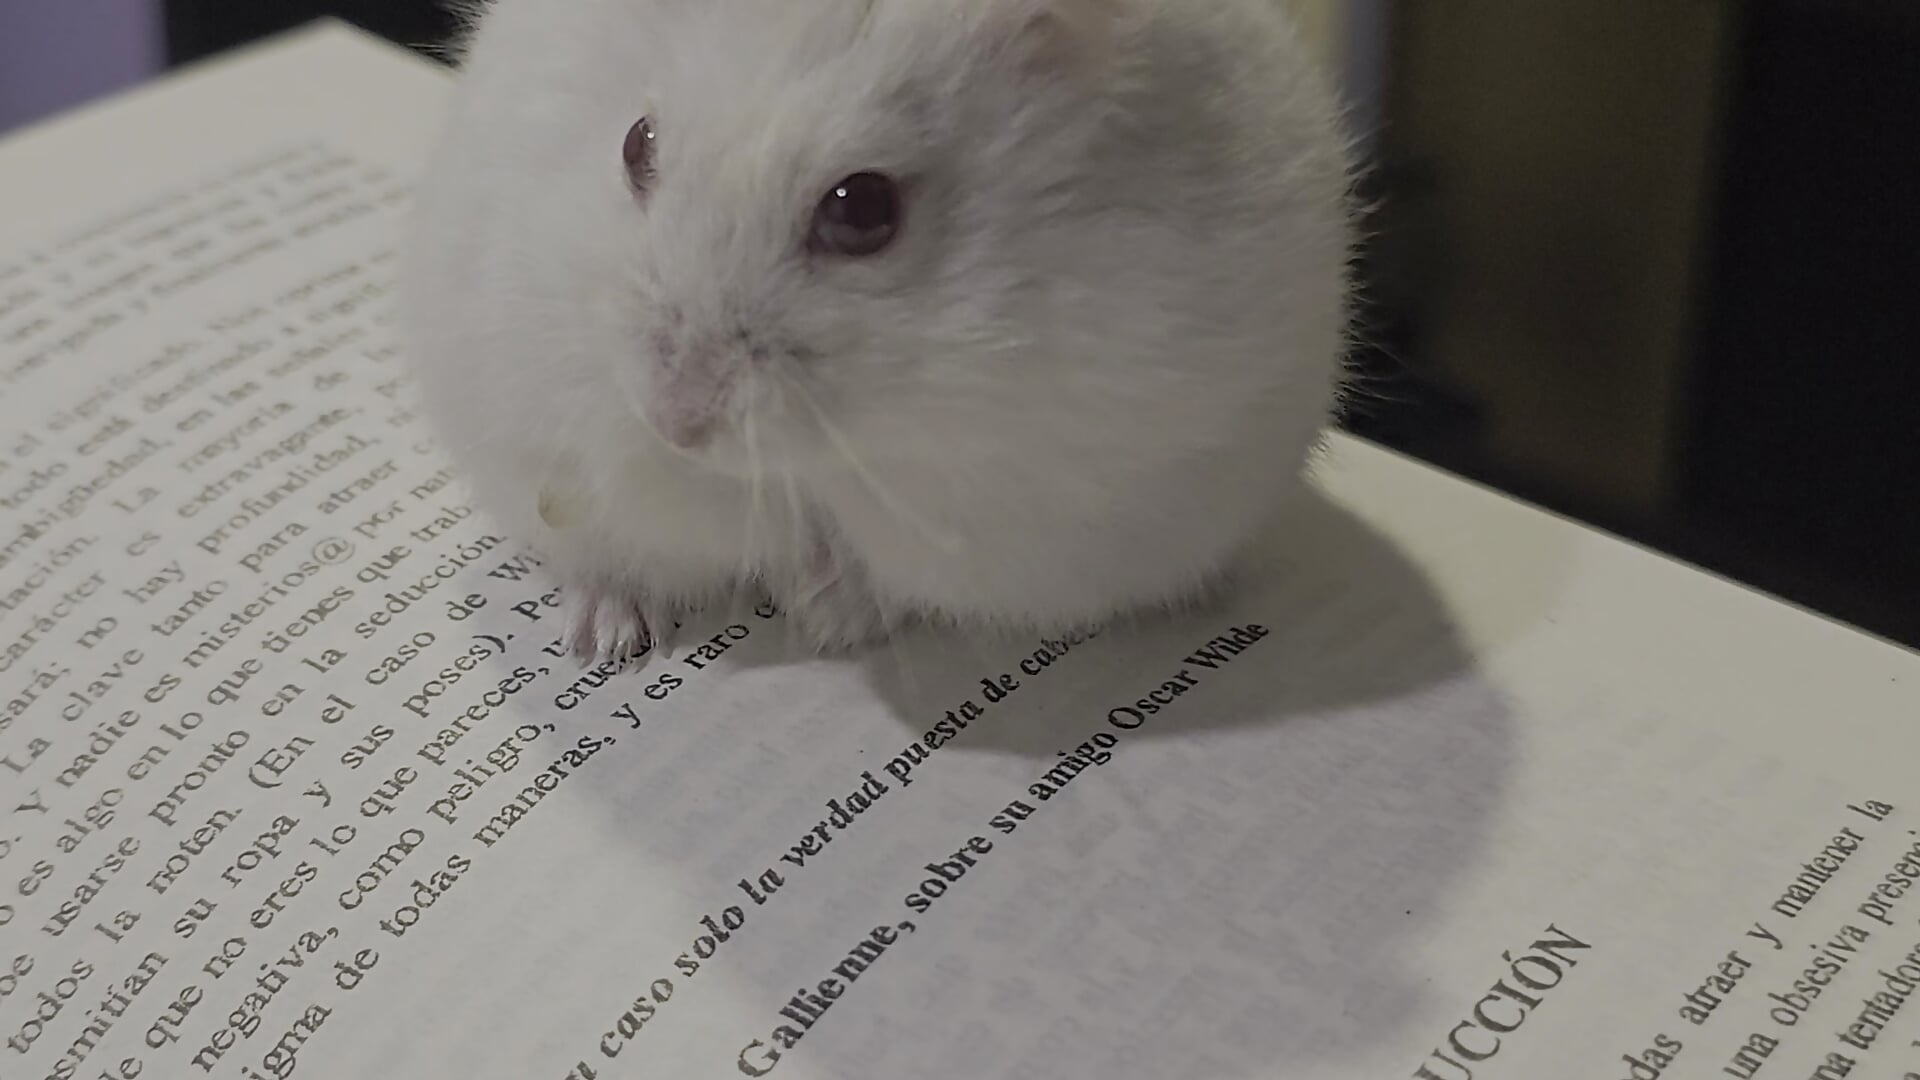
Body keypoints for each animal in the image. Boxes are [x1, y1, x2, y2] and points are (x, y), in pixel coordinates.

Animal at [398, 0, 1354, 662]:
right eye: (637, 144)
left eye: (862, 209)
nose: (675, 423)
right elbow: (662, 505)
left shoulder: (1049, 497)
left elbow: (881, 559)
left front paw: (825, 615)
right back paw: (611, 639)